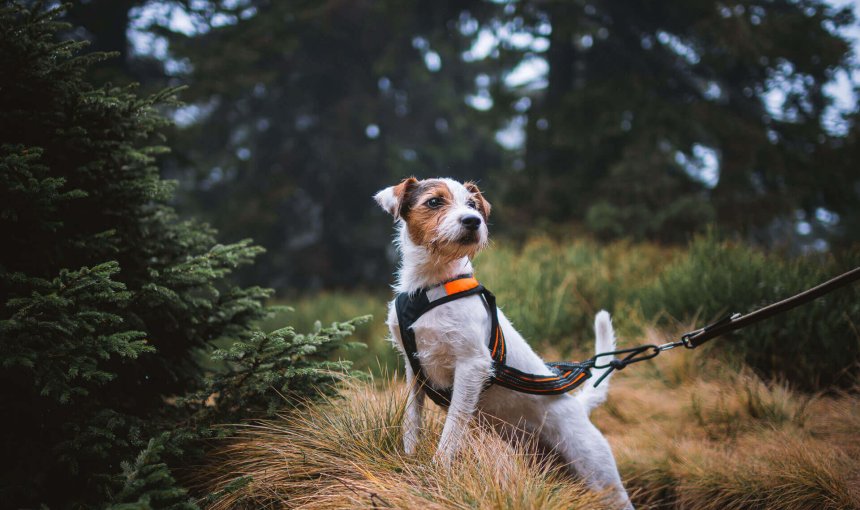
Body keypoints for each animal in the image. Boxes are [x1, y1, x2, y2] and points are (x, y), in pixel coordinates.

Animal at [374, 176, 632, 510]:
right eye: (434, 202)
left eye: (473, 204)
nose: (473, 221)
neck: (431, 285)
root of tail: (578, 406)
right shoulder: (414, 368)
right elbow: (411, 421)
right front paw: (408, 457)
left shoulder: (472, 365)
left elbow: (452, 427)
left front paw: (438, 470)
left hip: (602, 478)